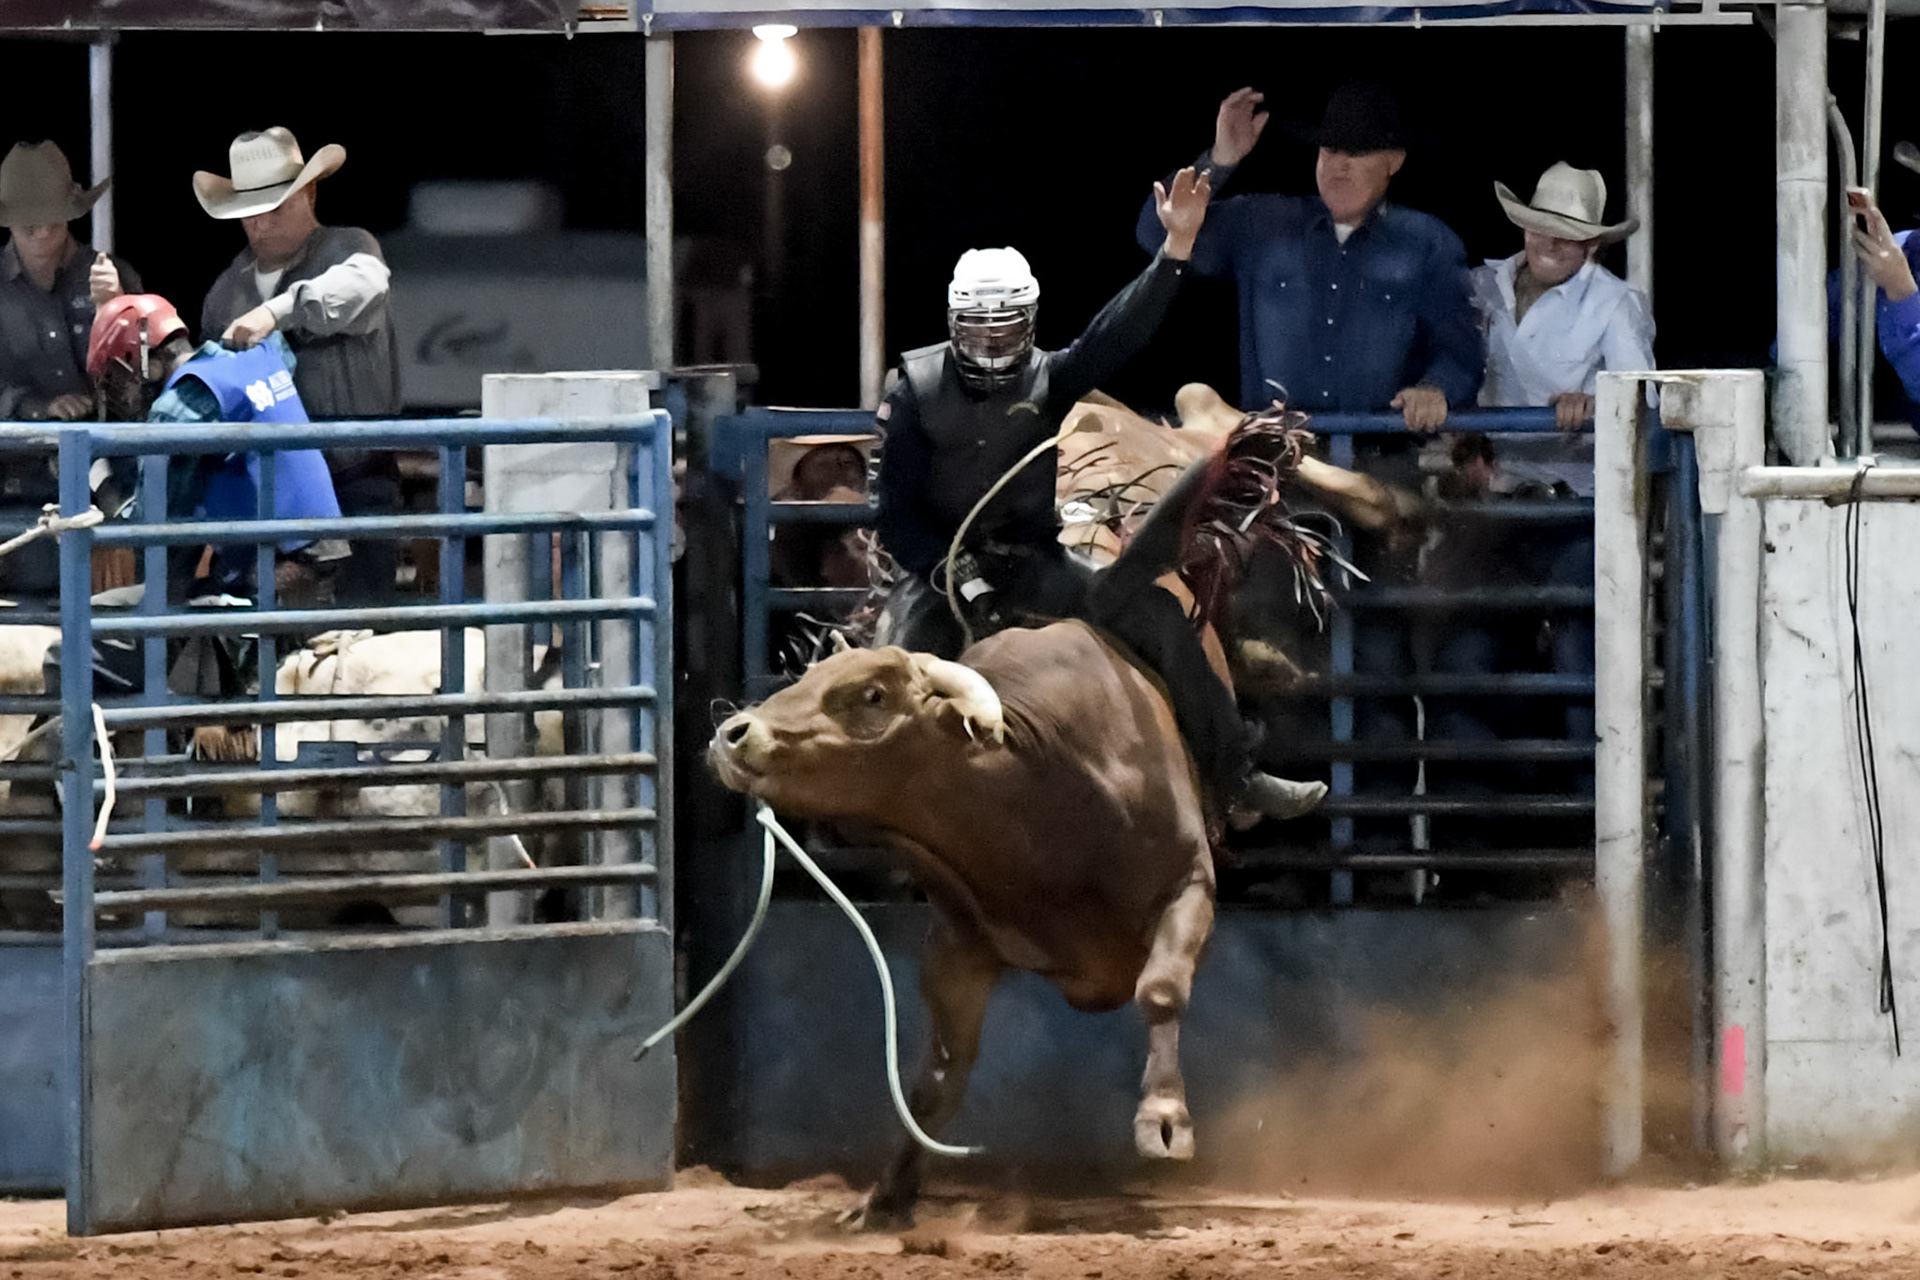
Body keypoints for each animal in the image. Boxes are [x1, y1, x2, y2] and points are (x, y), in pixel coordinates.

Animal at [710, 624, 1220, 1229]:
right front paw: (885, 1199)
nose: (733, 733)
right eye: (809, 675)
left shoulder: (1190, 882)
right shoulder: (960, 945)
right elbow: (939, 1076)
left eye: (873, 695)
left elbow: (1160, 989)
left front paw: (1165, 1118)